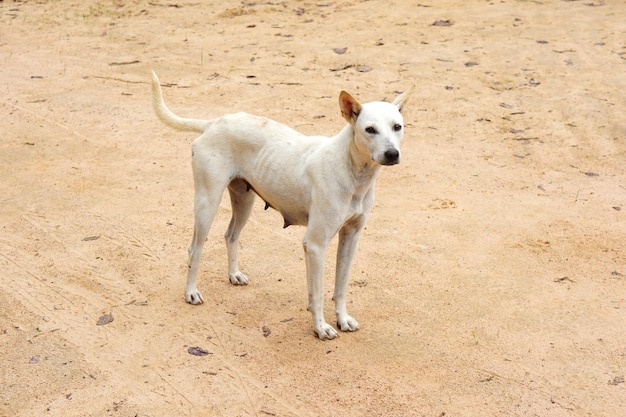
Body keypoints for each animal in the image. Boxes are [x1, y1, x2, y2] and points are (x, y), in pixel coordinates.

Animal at [152, 71, 410, 338]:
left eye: (397, 127)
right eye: (370, 129)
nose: (392, 154)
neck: (351, 169)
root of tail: (214, 123)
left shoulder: (351, 237)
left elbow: (340, 286)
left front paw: (343, 319)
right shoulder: (315, 244)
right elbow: (318, 293)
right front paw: (321, 327)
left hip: (244, 201)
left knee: (231, 235)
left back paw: (233, 275)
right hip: (207, 203)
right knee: (195, 248)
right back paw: (191, 292)